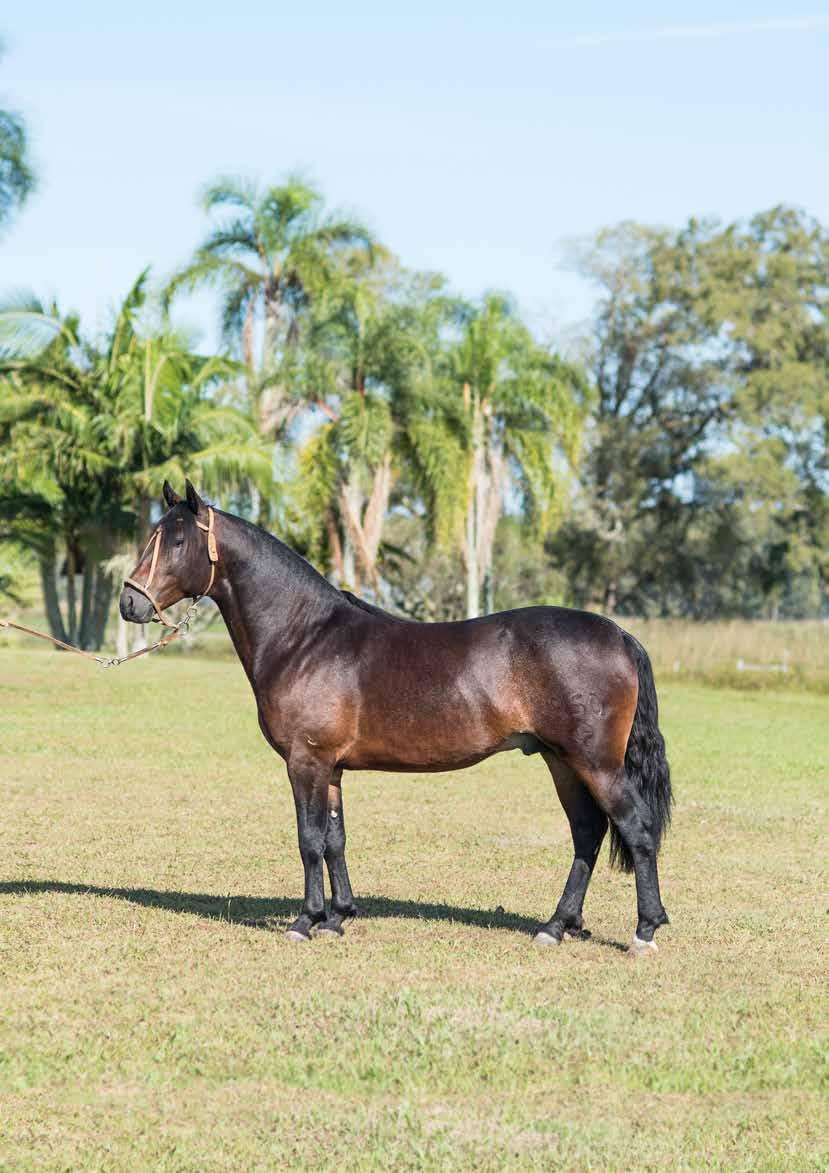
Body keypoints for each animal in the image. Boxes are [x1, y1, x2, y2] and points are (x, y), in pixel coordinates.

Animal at [120, 483, 670, 952]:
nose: (129, 602)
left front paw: (305, 921)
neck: (306, 637)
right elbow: (335, 840)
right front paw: (338, 916)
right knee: (587, 834)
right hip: (561, 761)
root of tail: (620, 635)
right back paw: (556, 926)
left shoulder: (306, 762)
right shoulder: (331, 768)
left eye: (177, 540)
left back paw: (644, 930)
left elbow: (308, 840)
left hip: (594, 763)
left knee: (635, 829)